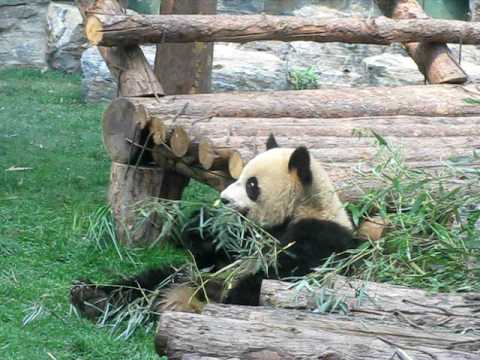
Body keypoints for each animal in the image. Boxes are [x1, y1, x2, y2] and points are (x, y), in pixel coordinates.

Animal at [70, 134, 356, 318]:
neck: (300, 208)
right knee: (148, 280)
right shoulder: (245, 236)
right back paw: (92, 297)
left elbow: (283, 275)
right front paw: (201, 224)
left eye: (252, 185)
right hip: (179, 275)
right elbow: (213, 254)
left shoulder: (321, 235)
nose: (225, 199)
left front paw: (236, 296)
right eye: (239, 177)